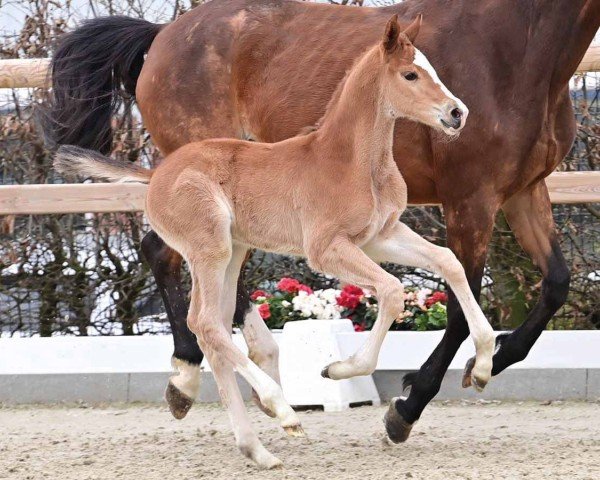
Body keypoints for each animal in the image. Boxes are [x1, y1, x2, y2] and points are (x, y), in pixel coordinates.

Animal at [48, 0, 600, 442]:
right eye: (412, 75)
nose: (458, 113)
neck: (516, 50)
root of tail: (162, 33)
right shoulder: (470, 200)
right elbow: (444, 301)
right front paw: (405, 404)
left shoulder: (521, 192)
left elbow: (549, 282)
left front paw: (486, 362)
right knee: (173, 267)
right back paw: (205, 379)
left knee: (195, 281)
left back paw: (245, 380)